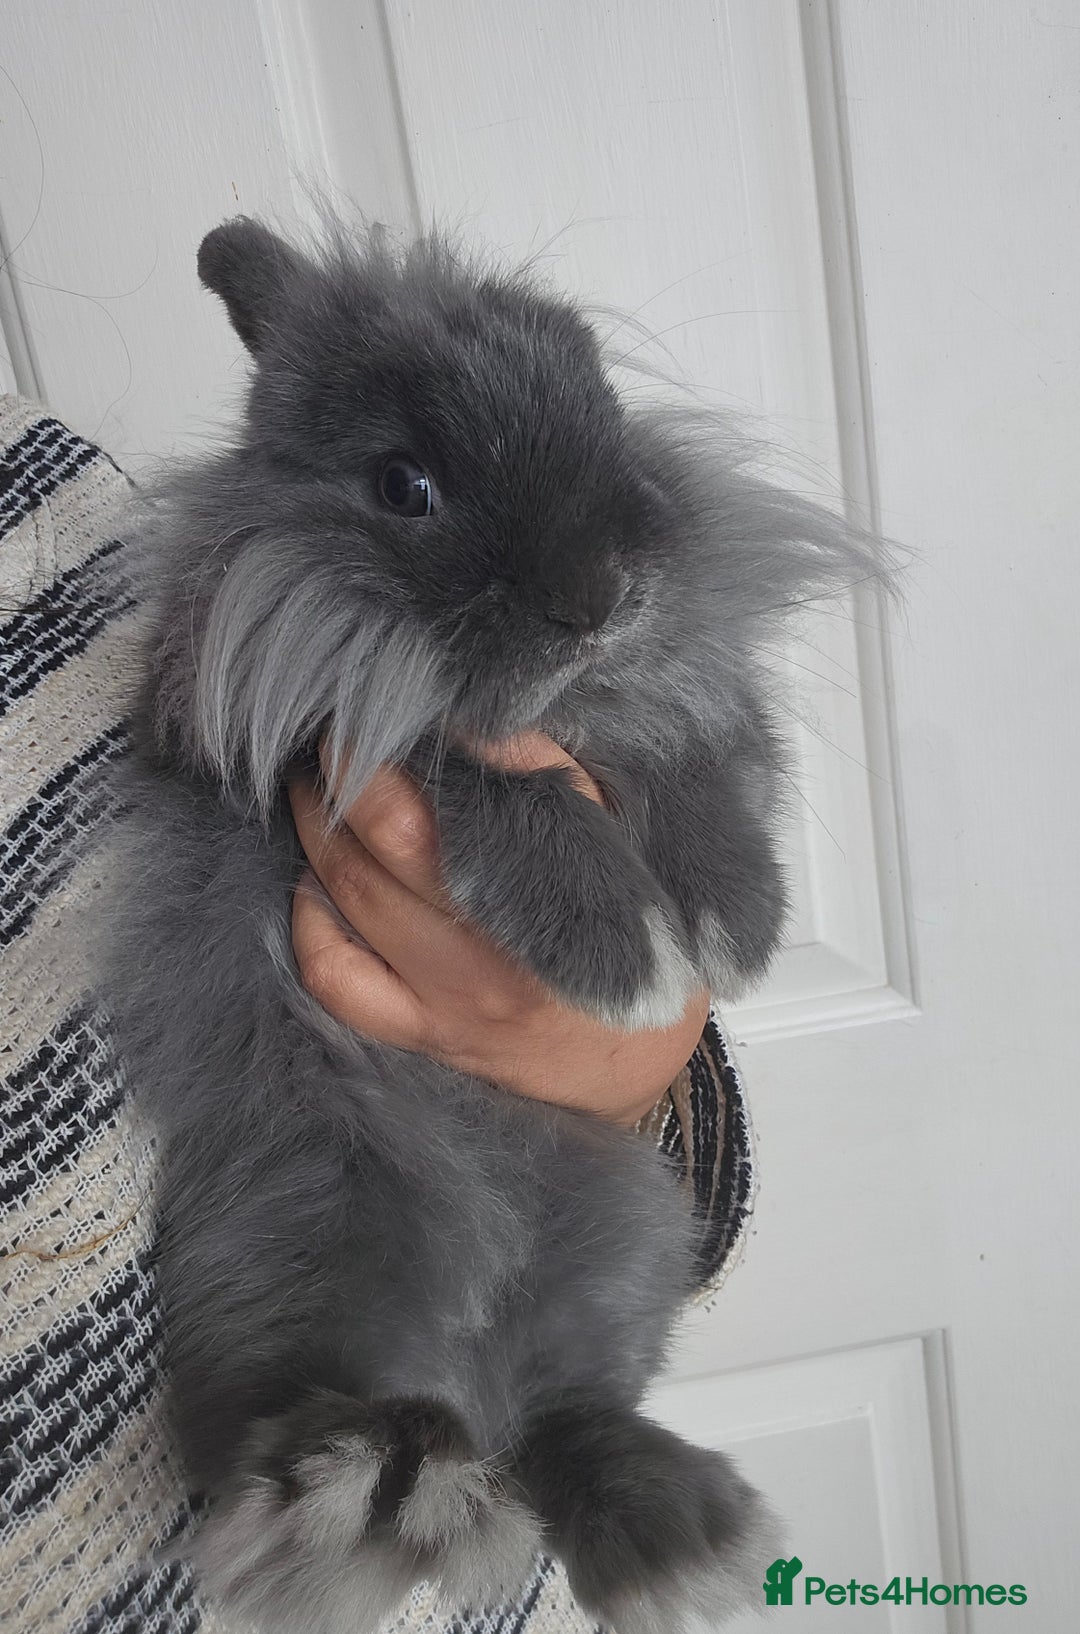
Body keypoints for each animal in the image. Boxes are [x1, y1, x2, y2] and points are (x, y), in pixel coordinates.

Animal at [101, 216, 882, 1634]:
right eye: (405, 485)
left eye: (601, 400)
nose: (606, 590)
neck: (572, 691)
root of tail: (472, 1360)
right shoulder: (339, 740)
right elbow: (483, 771)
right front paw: (628, 958)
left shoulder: (674, 705)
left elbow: (697, 758)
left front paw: (736, 924)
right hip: (301, 1218)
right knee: (309, 1401)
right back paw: (362, 1486)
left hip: (626, 1232)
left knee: (568, 1415)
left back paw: (676, 1532)